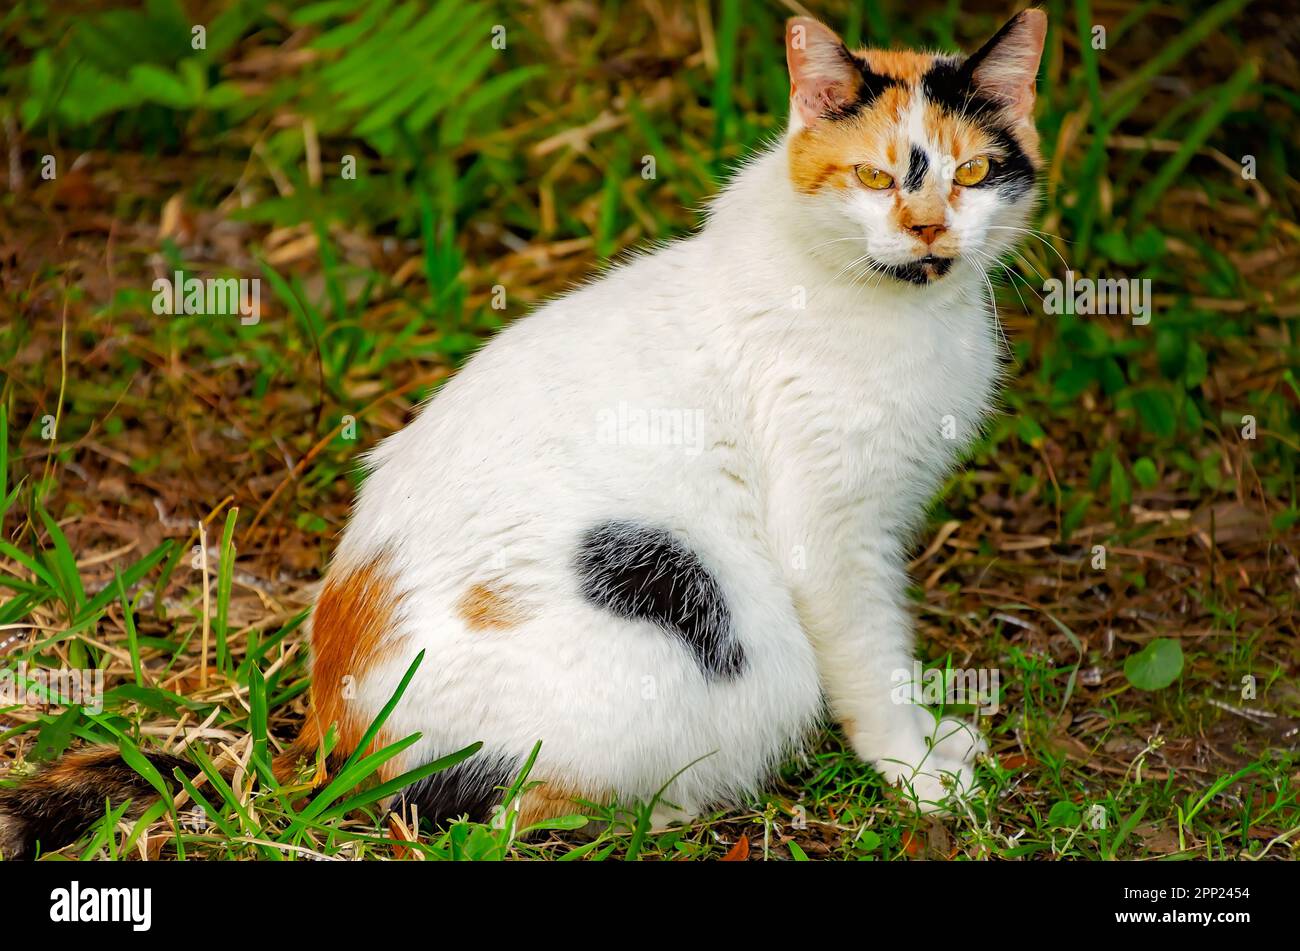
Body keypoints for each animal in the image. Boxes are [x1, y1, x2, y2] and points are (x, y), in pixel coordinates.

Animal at [0, 7, 1045, 852]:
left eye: (974, 173)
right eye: (874, 174)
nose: (928, 230)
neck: (903, 310)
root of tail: (327, 739)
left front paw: (936, 744)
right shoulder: (832, 538)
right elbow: (871, 660)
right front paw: (917, 774)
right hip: (693, 623)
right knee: (499, 814)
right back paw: (663, 810)